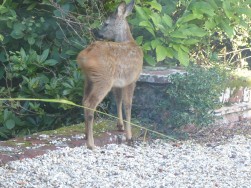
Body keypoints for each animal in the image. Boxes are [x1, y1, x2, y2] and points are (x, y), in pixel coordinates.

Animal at [76, 0, 143, 150]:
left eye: (106, 23)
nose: (98, 33)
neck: (129, 41)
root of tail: (83, 56)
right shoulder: (132, 79)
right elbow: (128, 105)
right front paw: (129, 136)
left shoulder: (119, 82)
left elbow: (118, 100)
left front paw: (120, 126)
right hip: (103, 79)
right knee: (90, 103)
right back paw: (91, 144)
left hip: (88, 79)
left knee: (83, 101)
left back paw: (85, 134)